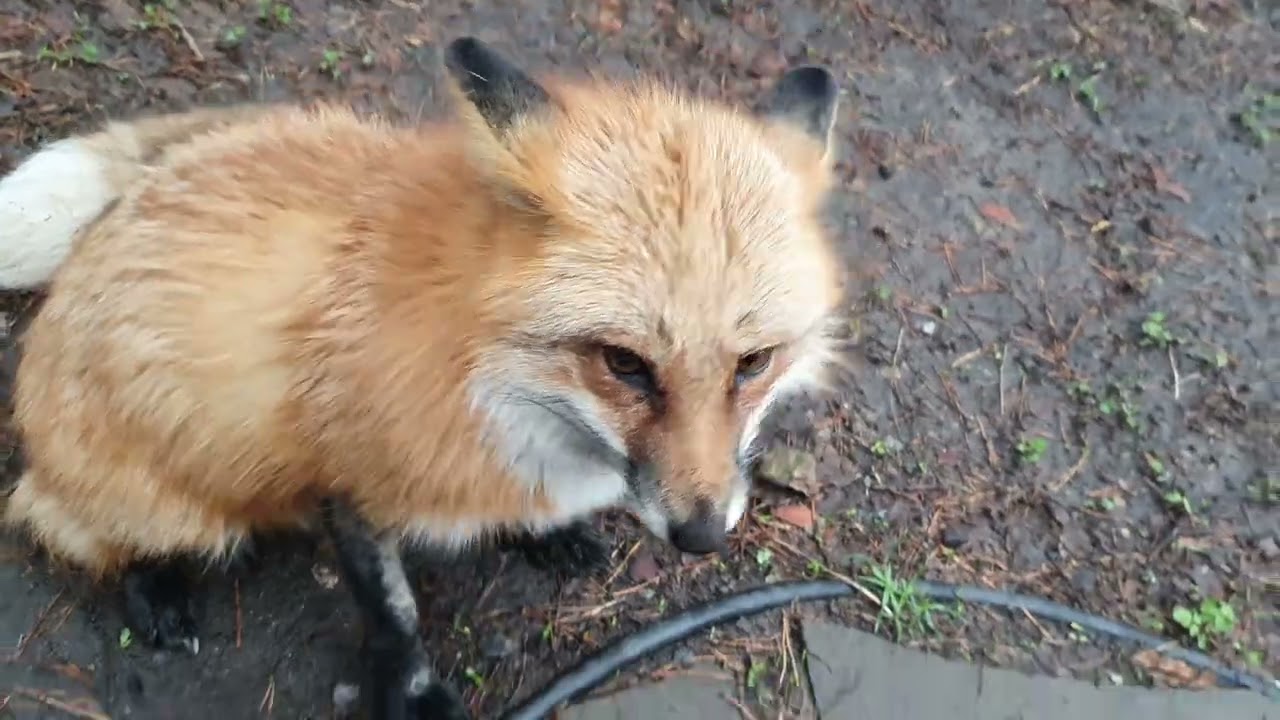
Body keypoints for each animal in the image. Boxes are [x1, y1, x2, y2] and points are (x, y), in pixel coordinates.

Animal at [0, 36, 845, 720]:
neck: (494, 383)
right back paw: (152, 588)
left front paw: (549, 533)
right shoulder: (347, 481)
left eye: (754, 362)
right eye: (625, 364)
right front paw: (410, 695)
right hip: (174, 506)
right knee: (72, 528)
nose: (702, 537)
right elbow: (395, 617)